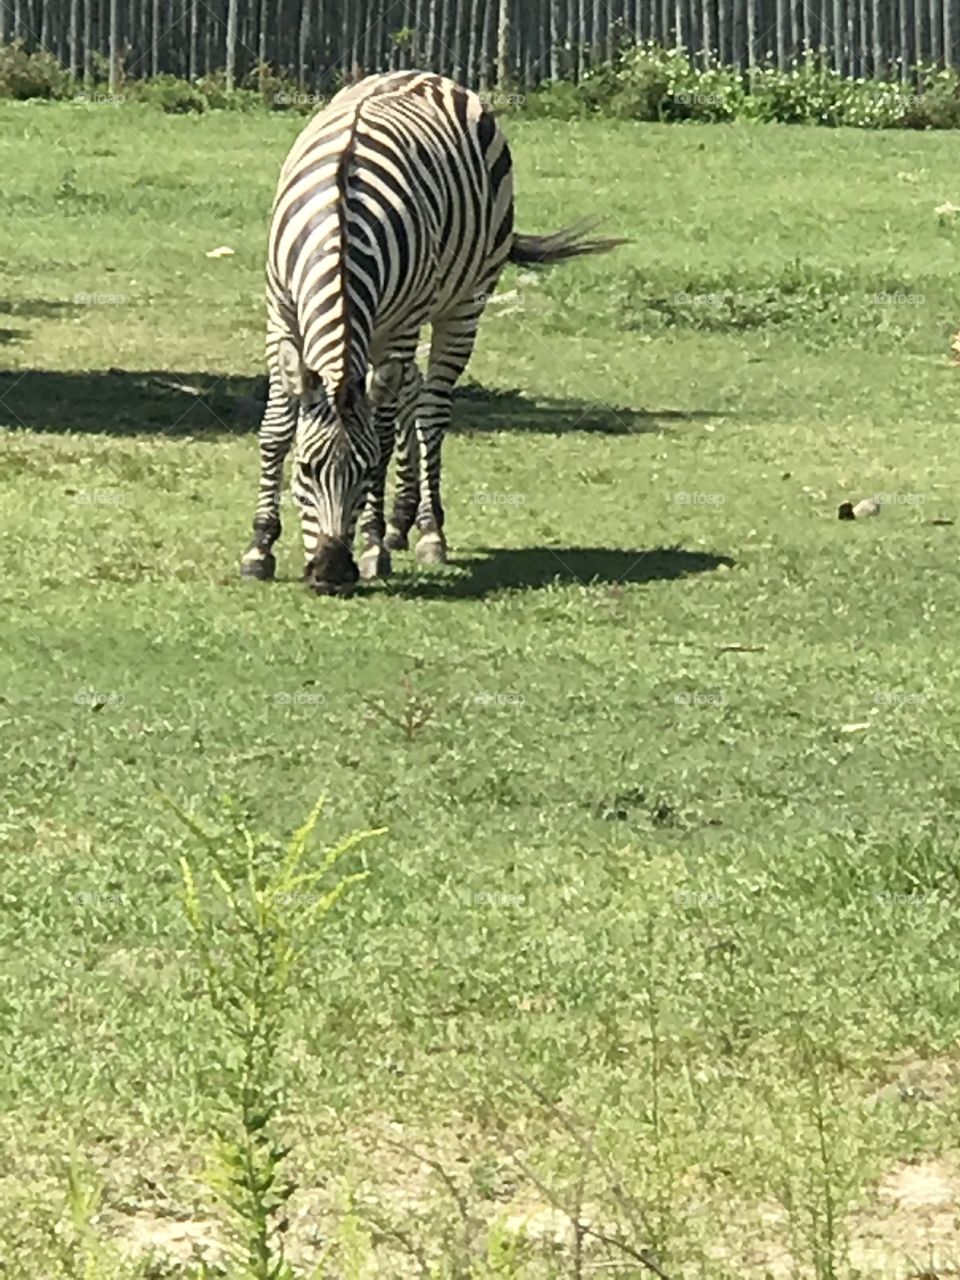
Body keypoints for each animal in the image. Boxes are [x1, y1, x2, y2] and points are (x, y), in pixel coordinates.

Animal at [240, 70, 621, 595]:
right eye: (305, 470)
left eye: (363, 473)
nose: (332, 575)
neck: (340, 230)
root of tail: (425, 75)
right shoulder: (281, 312)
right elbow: (276, 428)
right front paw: (260, 545)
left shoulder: (399, 326)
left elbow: (381, 436)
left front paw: (373, 544)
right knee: (410, 394)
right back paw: (402, 522)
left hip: (459, 308)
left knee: (429, 410)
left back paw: (426, 531)